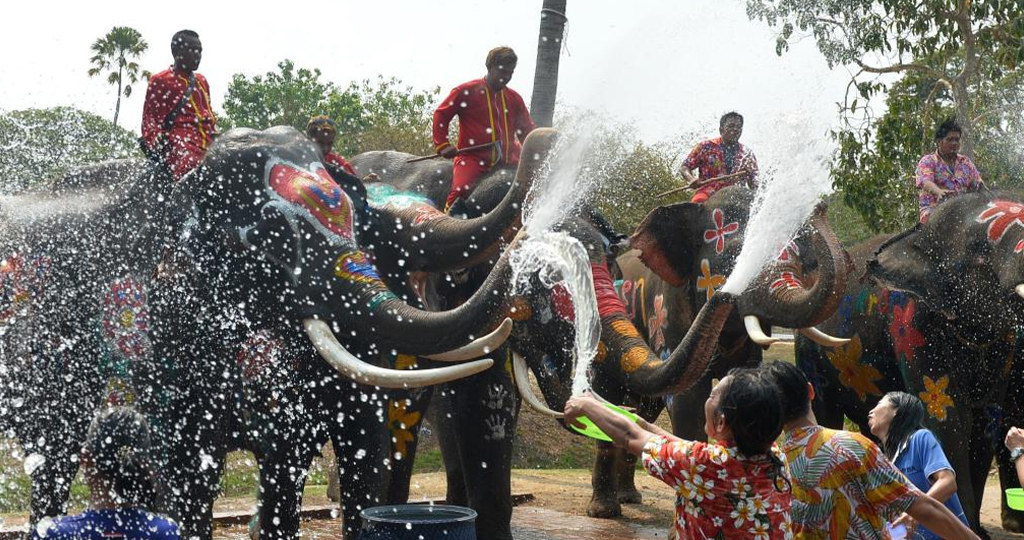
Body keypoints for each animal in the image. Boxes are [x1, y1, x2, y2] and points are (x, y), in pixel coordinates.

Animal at [0, 128, 561, 540]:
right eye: (271, 241)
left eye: (357, 223)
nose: (545, 137)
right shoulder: (166, 326)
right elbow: (199, 464)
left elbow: (357, 451)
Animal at [798, 191, 1024, 536]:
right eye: (980, 251)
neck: (921, 234)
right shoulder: (911, 323)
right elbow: (947, 414)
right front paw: (962, 527)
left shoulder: (1004, 342)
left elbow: (985, 416)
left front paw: (977, 532)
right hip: (811, 353)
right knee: (825, 411)